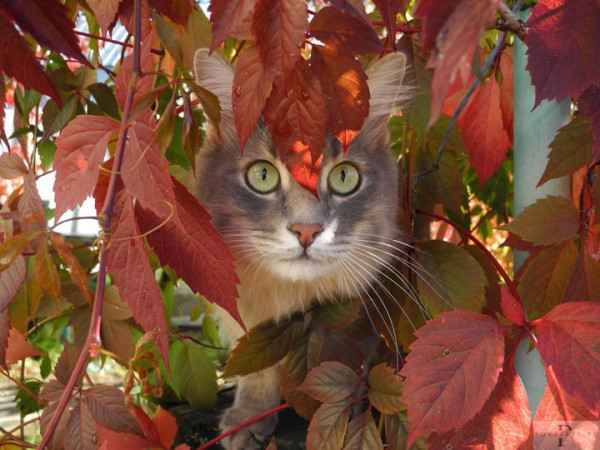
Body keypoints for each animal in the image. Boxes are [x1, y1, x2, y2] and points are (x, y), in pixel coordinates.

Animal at [195, 47, 410, 448]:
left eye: (344, 177)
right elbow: (258, 372)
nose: (307, 229)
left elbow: (346, 367)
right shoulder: (246, 320)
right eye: (263, 175)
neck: (291, 292)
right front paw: (250, 415)